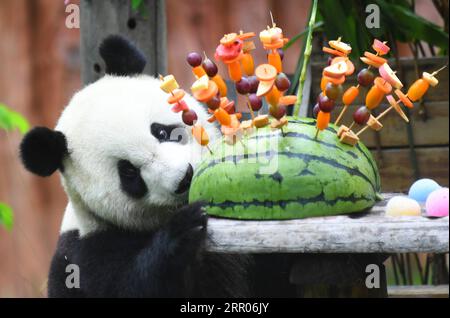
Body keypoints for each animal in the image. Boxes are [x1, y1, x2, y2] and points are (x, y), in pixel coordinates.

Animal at [19, 35, 250, 298]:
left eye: (161, 132)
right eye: (129, 172)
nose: (184, 179)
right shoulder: (89, 253)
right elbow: (132, 284)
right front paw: (184, 229)